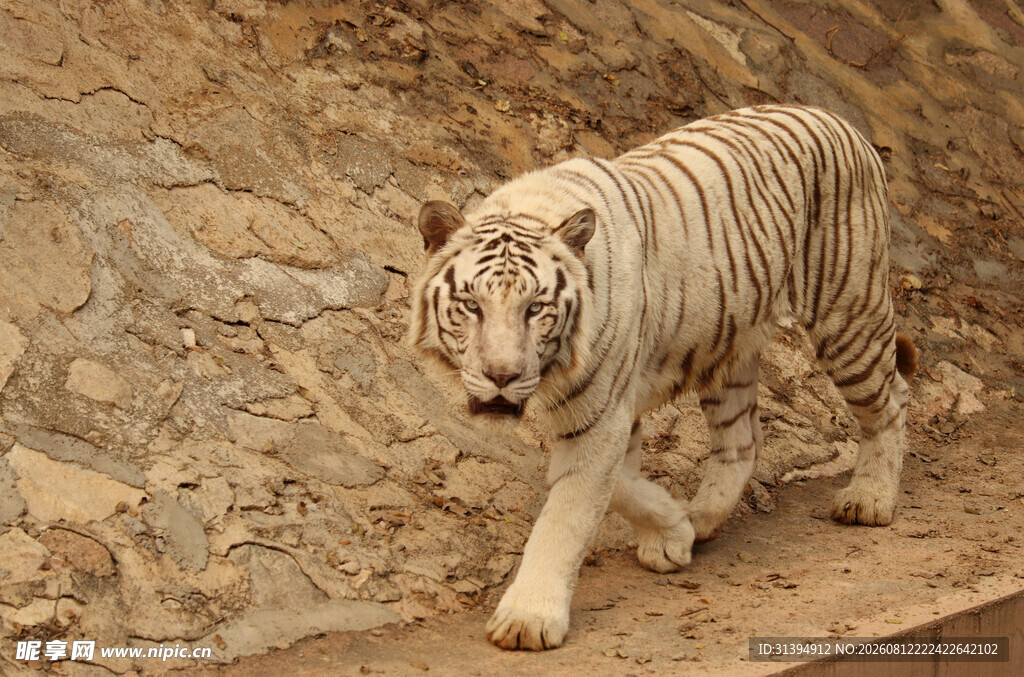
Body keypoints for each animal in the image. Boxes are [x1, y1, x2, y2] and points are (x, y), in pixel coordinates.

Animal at [407, 104, 917, 651]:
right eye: (471, 305)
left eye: (536, 308)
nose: (502, 375)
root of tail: (838, 118)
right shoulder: (613, 407)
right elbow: (620, 486)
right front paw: (673, 532)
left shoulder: (601, 410)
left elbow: (569, 512)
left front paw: (529, 619)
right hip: (727, 344)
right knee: (743, 438)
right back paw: (703, 518)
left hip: (849, 315)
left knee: (892, 401)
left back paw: (869, 499)